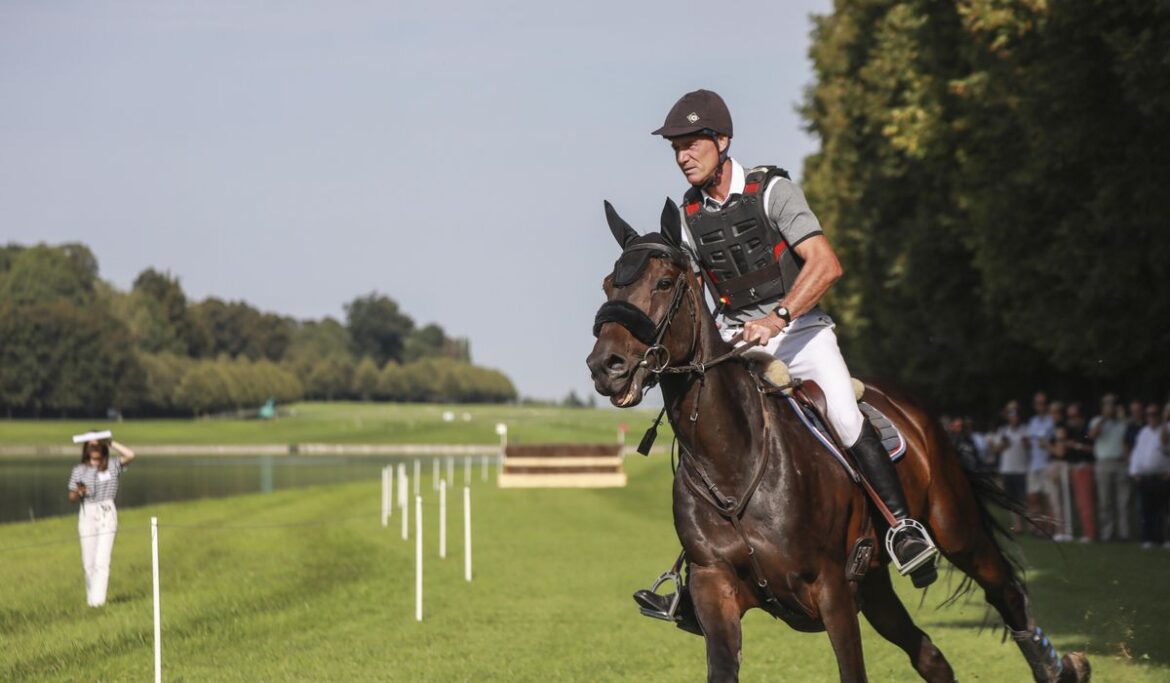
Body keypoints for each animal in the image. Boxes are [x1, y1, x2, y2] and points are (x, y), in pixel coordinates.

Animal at [585, 199, 1091, 683]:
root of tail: (913, 407)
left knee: (1005, 589)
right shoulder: (716, 587)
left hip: (953, 528)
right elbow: (723, 668)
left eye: (664, 282)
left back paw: (1058, 667)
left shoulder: (831, 589)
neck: (732, 463)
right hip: (876, 586)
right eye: (609, 286)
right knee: (931, 657)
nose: (605, 366)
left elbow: (852, 671)